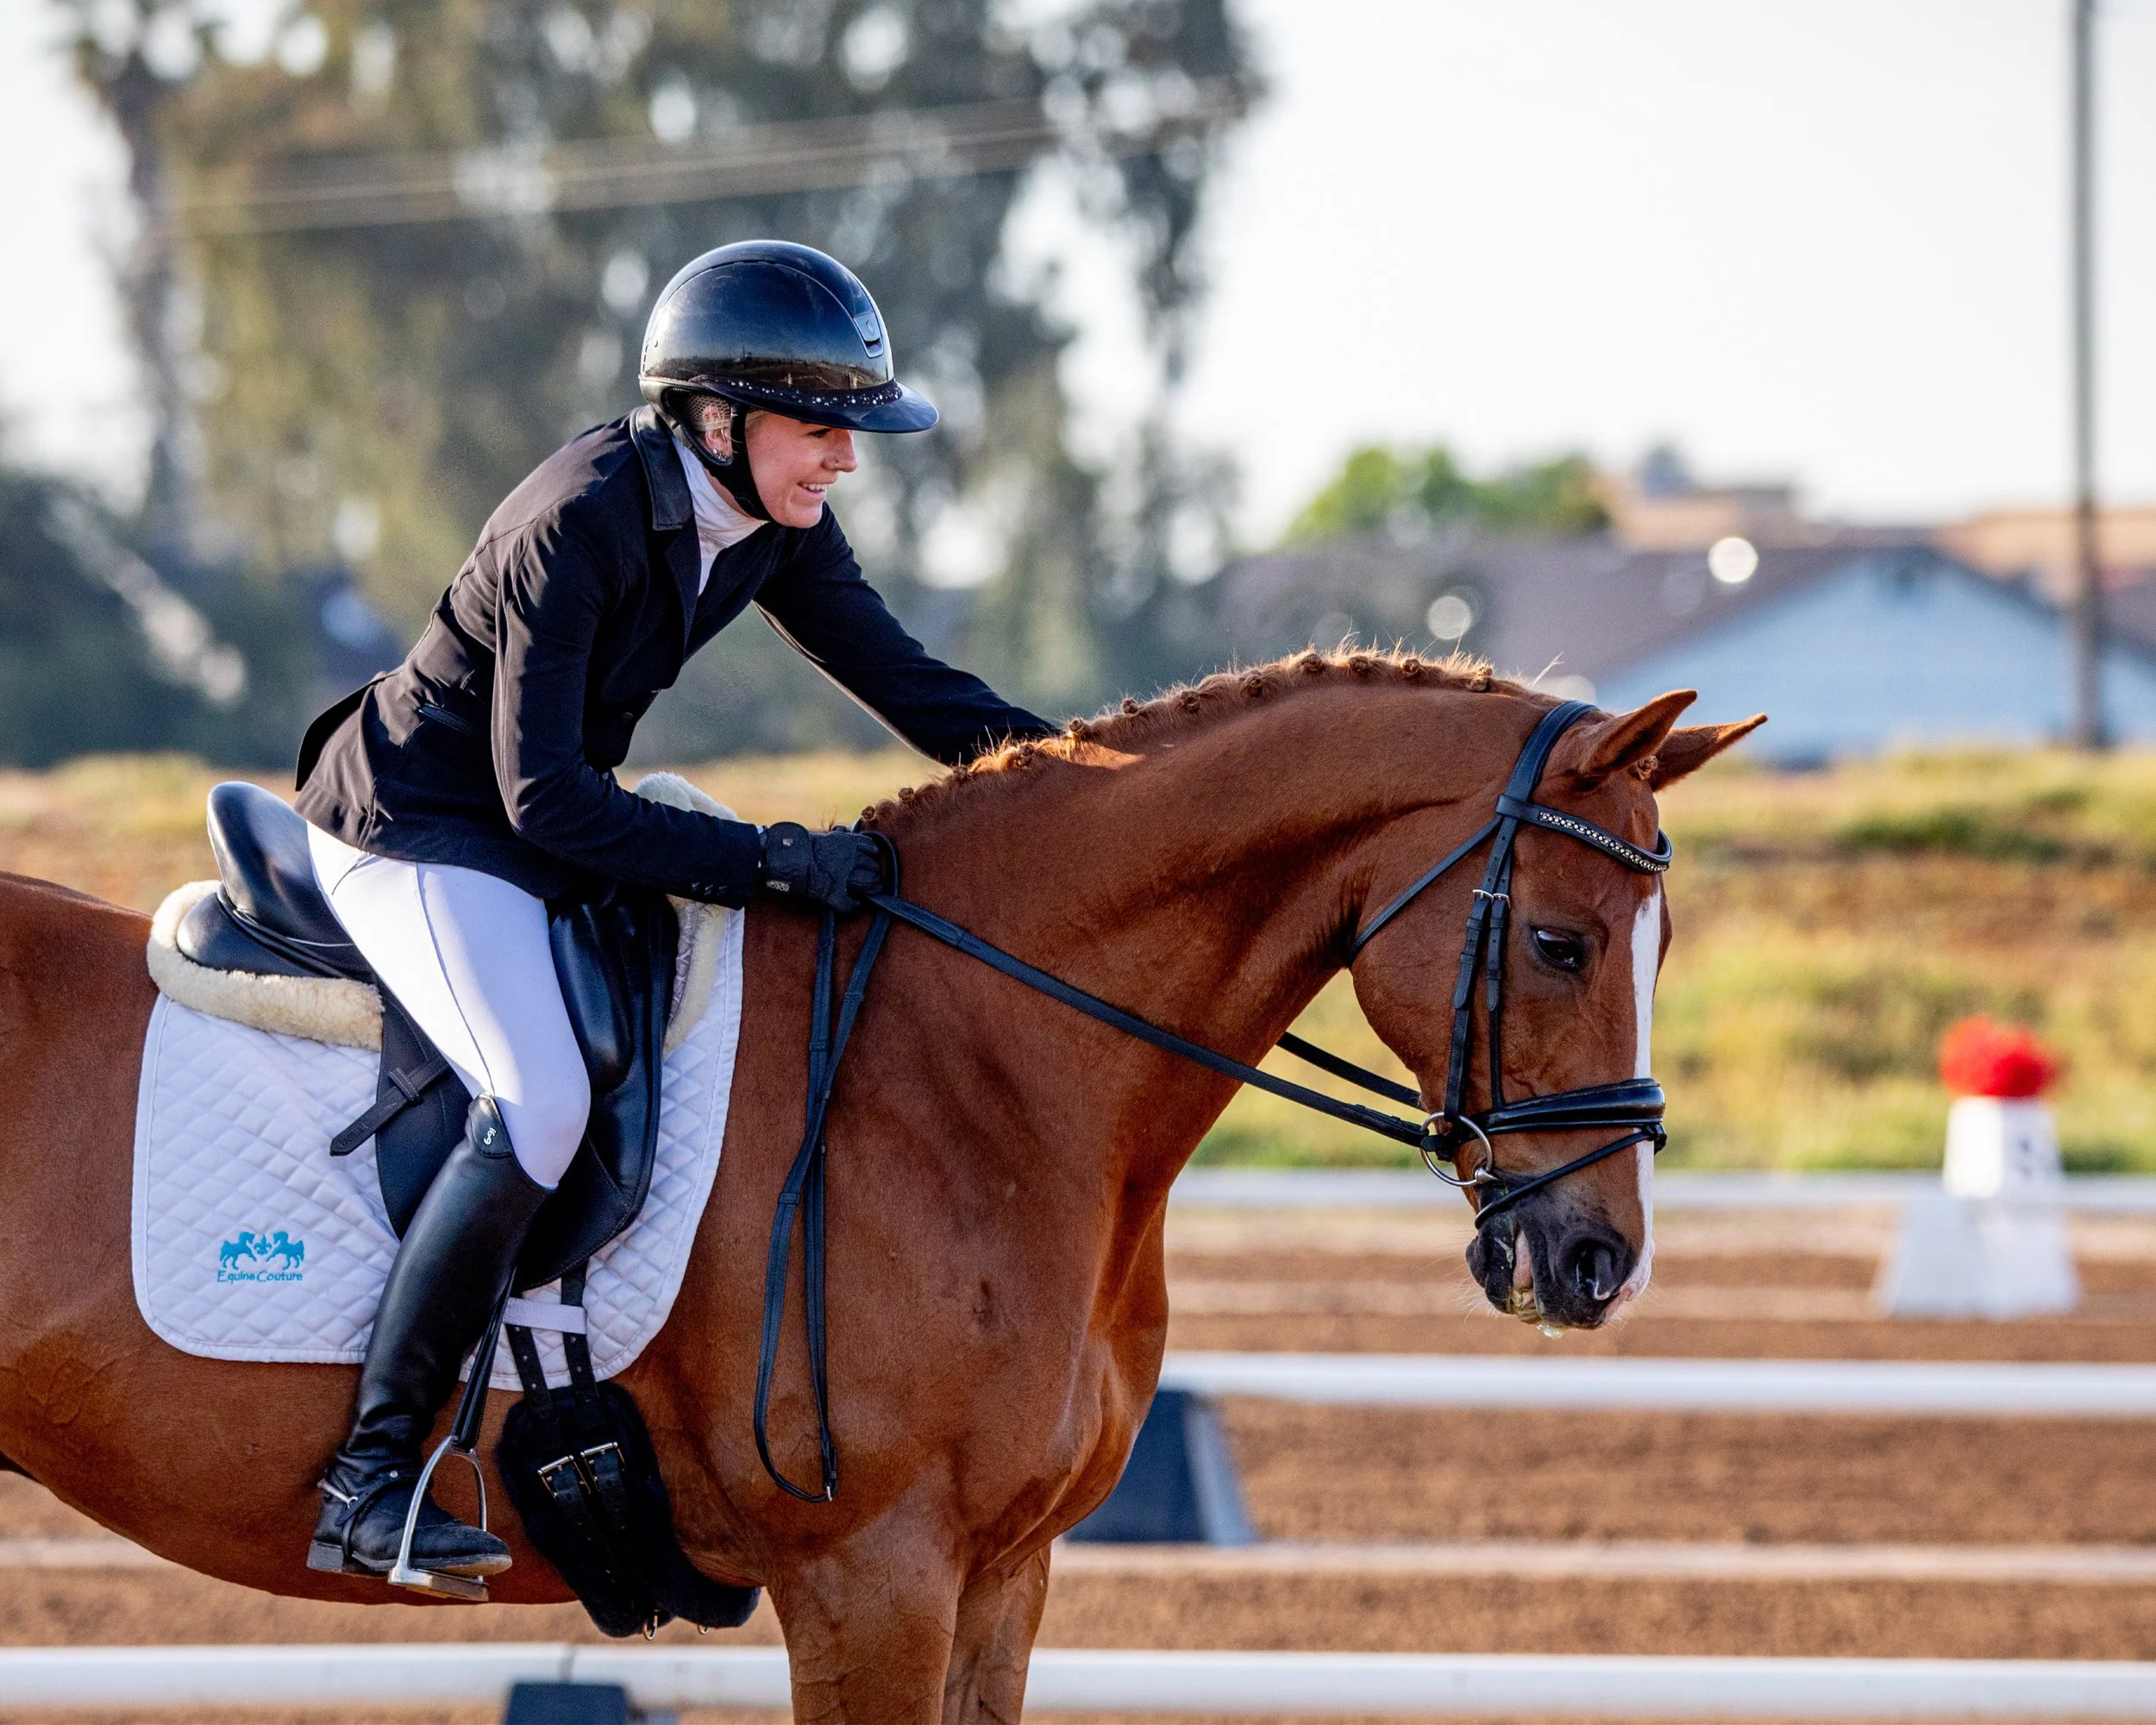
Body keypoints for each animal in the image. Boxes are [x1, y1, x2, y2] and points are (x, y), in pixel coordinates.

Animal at [0, 651, 1758, 1723]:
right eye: (1561, 944)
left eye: (1658, 940)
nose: (1594, 1261)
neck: (977, 1060)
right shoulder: (871, 1577)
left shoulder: (999, 1576)